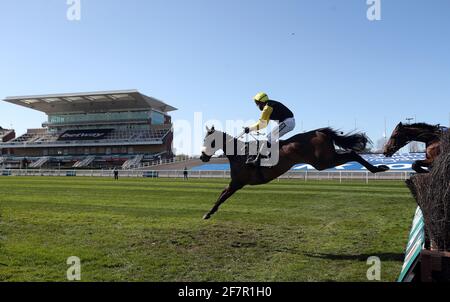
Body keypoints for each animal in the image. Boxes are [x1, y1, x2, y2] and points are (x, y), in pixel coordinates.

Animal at [199, 125, 388, 219]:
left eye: (209, 141)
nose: (202, 157)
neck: (239, 153)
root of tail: (320, 131)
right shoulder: (235, 183)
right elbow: (221, 194)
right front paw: (209, 212)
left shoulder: (237, 182)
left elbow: (223, 196)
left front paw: (208, 213)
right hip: (325, 159)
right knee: (351, 153)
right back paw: (378, 168)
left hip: (322, 161)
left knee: (352, 154)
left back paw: (377, 168)